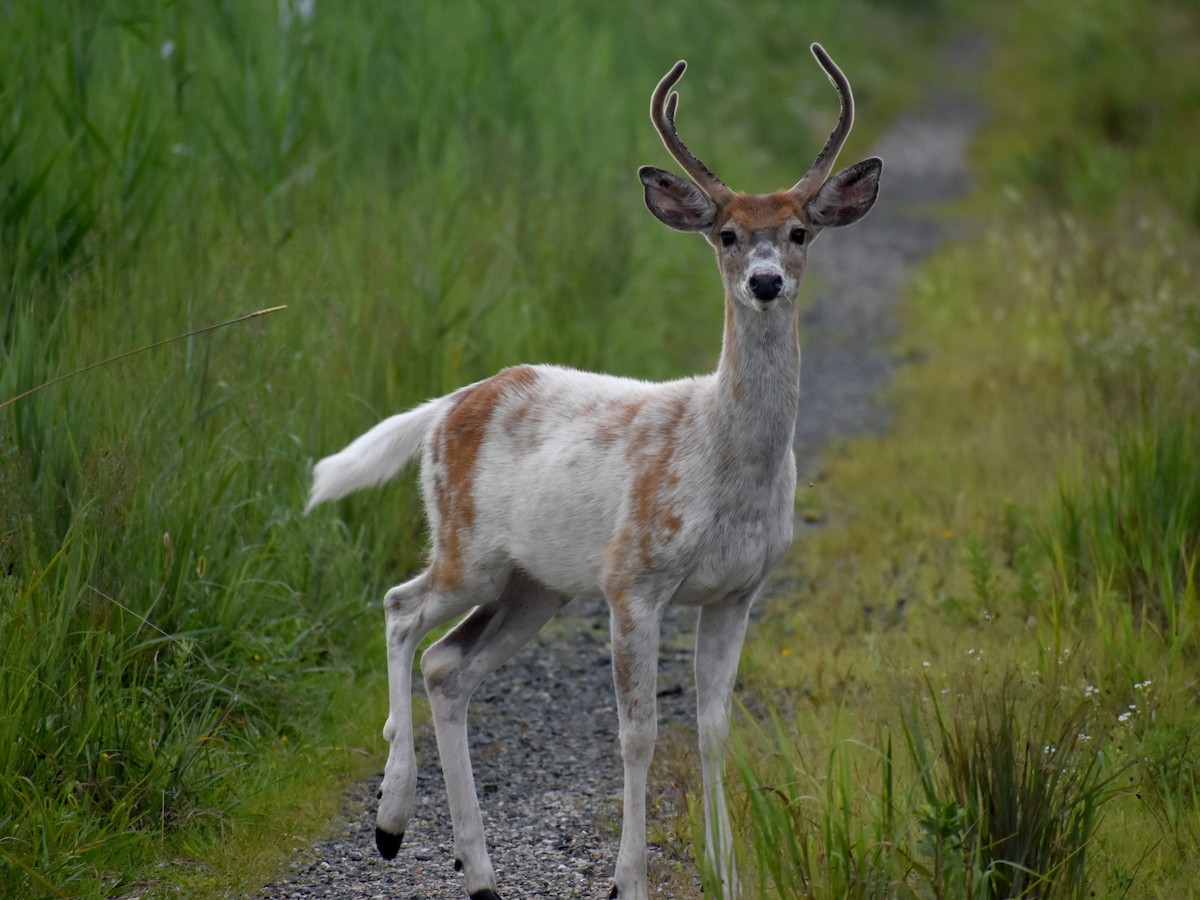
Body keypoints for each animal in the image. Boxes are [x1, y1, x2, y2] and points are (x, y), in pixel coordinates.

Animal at [306, 43, 881, 900]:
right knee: (401, 607)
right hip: (468, 547)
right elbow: (638, 732)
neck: (721, 458)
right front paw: (628, 880)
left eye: (799, 230)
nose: (766, 281)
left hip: (533, 586)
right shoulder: (631, 578)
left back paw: (478, 871)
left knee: (447, 667)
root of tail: (448, 405)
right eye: (727, 234)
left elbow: (712, 730)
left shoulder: (738, 590)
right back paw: (391, 818)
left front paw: (727, 874)